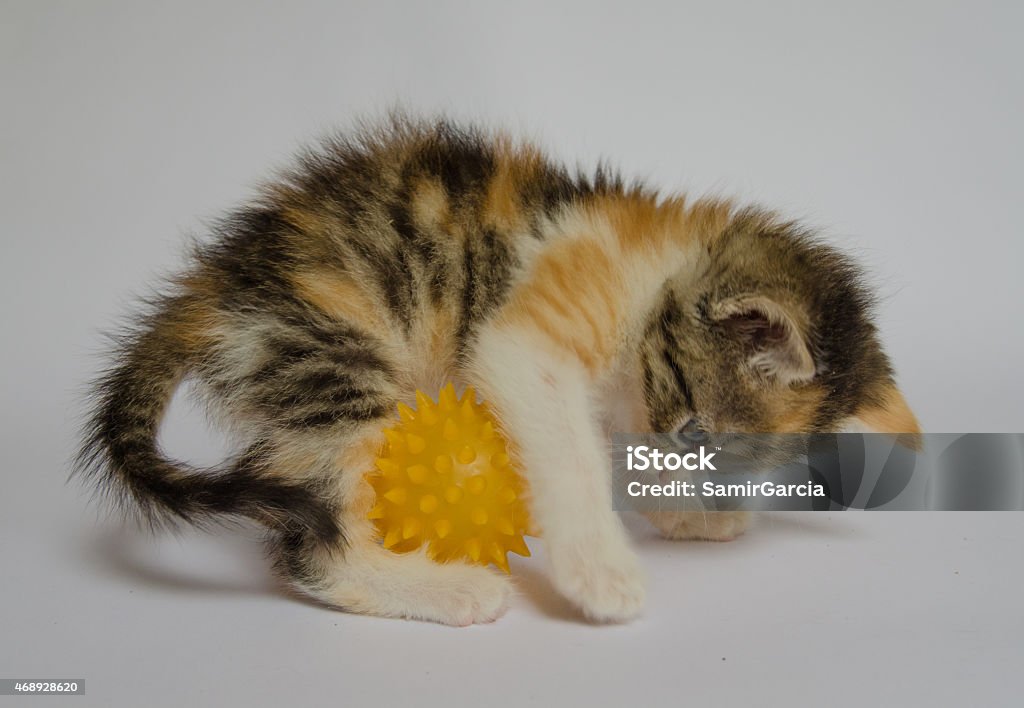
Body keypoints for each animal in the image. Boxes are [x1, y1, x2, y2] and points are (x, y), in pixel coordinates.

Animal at [75, 116, 917, 627]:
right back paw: (448, 588)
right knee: (309, 542)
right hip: (341, 361)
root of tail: (214, 286)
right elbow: (574, 458)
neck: (654, 266)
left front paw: (688, 515)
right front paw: (602, 575)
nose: (694, 490)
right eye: (693, 432)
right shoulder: (530, 342)